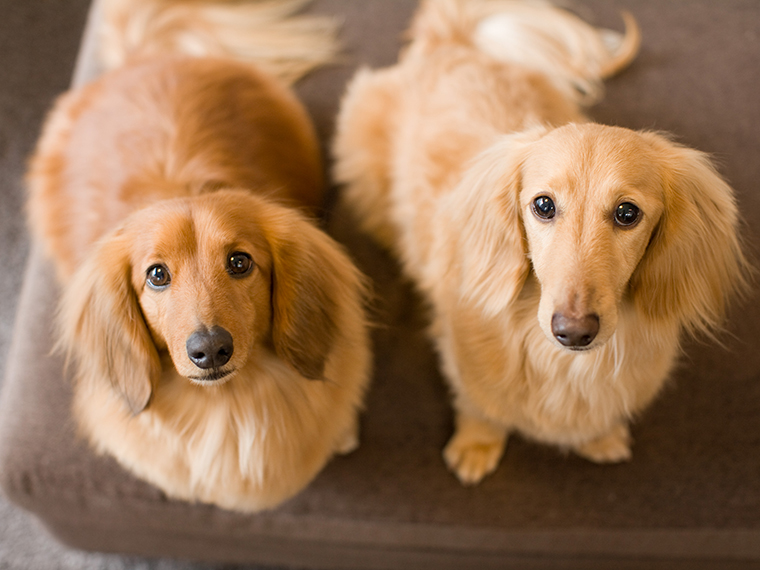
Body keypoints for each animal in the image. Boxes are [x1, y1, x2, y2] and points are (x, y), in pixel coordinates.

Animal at [334, 0, 748, 484]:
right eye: (543, 205)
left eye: (628, 213)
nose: (574, 331)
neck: (558, 360)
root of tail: (451, 45)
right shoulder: (464, 358)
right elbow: (479, 403)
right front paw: (476, 444)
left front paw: (600, 437)